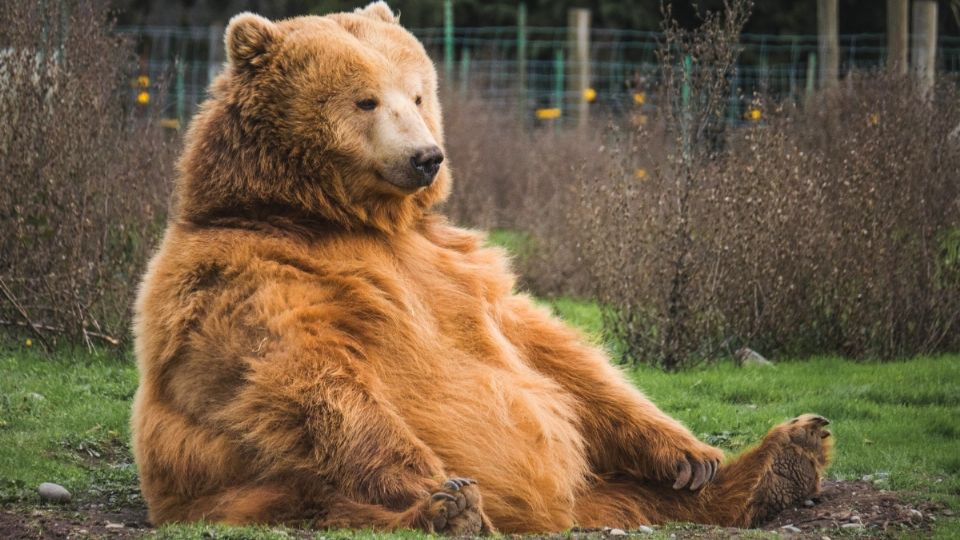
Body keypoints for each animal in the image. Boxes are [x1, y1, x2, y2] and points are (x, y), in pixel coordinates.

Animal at [131, 2, 836, 532]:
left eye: (418, 93)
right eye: (365, 101)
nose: (426, 157)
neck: (343, 218)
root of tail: (556, 513)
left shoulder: (456, 266)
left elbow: (552, 352)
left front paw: (689, 454)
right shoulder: (250, 274)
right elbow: (306, 376)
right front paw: (438, 485)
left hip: (597, 483)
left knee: (639, 492)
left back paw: (781, 460)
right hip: (244, 487)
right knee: (322, 500)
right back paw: (447, 511)